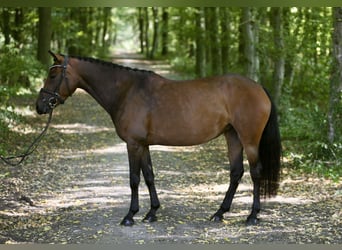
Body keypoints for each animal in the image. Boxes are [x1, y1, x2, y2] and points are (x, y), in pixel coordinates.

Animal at [36, 50, 280, 227]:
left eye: (53, 75)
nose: (39, 106)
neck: (127, 91)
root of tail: (259, 87)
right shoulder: (143, 145)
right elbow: (149, 176)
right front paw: (151, 213)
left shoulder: (133, 145)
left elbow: (134, 179)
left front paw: (130, 216)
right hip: (233, 136)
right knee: (236, 172)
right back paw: (219, 213)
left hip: (249, 140)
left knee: (255, 172)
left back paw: (252, 216)